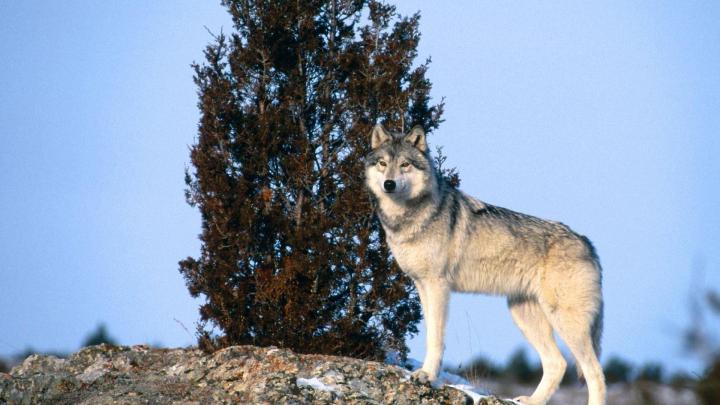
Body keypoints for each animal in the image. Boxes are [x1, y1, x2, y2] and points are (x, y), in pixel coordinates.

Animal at [364, 124, 606, 405]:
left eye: (404, 164)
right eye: (383, 163)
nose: (389, 184)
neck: (410, 218)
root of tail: (588, 243)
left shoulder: (438, 286)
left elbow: (436, 338)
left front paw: (426, 376)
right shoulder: (422, 285)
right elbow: (429, 334)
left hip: (566, 323)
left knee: (595, 373)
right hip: (523, 315)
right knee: (558, 364)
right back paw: (531, 400)